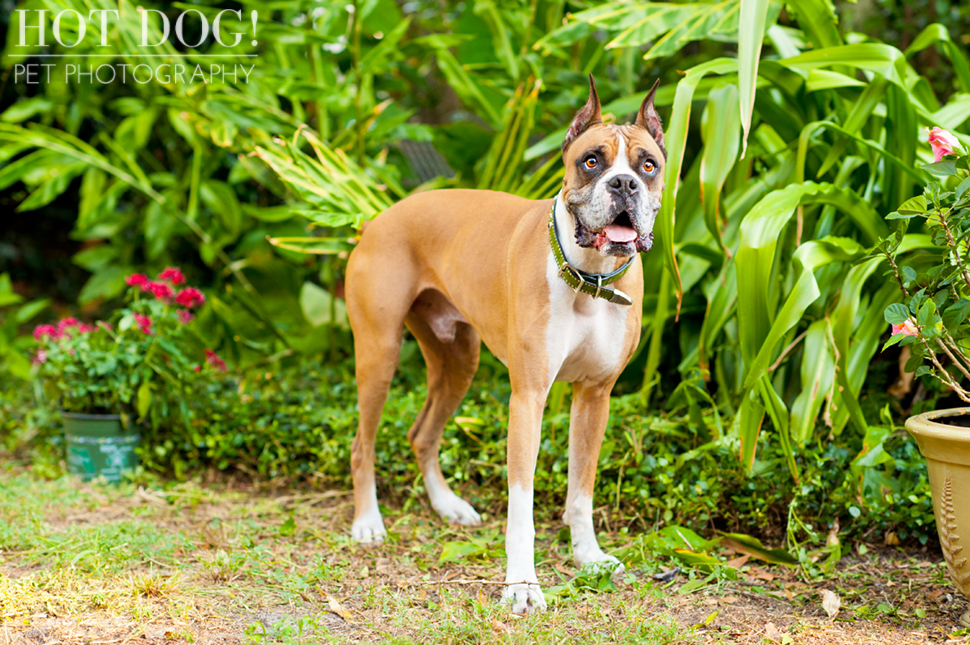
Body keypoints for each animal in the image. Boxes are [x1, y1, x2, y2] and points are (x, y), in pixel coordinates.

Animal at [342, 75, 664, 612]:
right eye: (591, 161)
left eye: (648, 165)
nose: (624, 185)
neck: (589, 280)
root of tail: (382, 215)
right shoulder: (528, 398)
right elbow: (522, 506)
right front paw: (522, 584)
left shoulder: (595, 397)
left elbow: (581, 490)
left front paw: (589, 556)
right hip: (378, 355)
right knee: (361, 445)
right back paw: (368, 522)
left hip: (458, 363)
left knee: (422, 434)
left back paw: (447, 505)